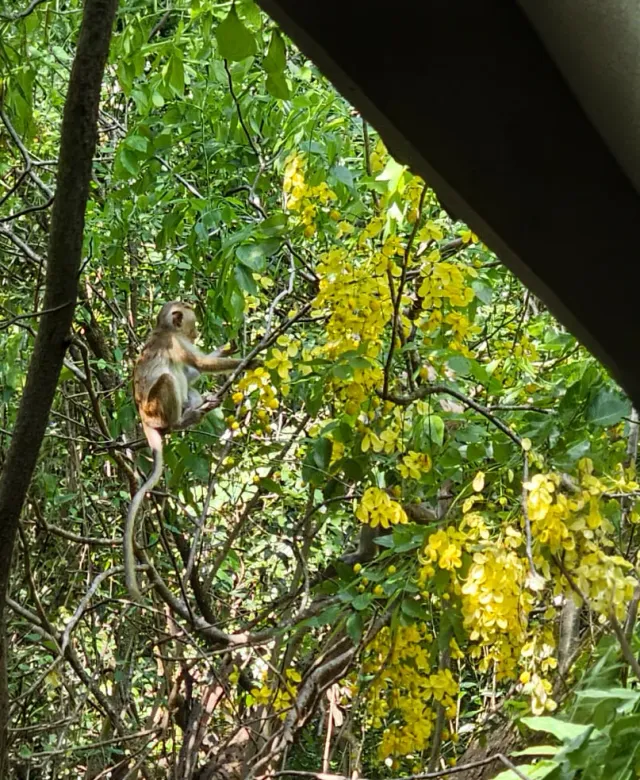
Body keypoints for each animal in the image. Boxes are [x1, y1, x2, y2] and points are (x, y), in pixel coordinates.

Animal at [125, 301, 255, 601]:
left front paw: (225, 348)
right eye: (192, 324)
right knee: (168, 379)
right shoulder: (176, 343)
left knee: (186, 382)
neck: (166, 329)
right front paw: (251, 359)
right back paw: (181, 421)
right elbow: (200, 364)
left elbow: (194, 371)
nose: (196, 333)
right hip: (156, 408)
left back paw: (197, 407)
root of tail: (145, 420)